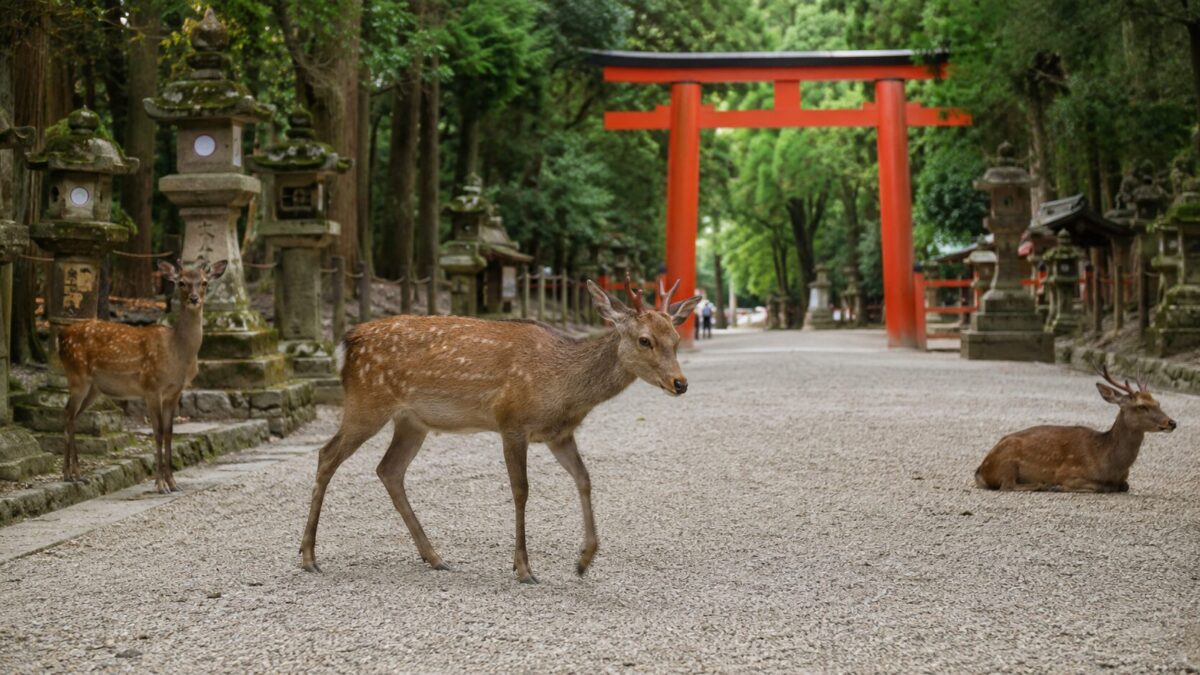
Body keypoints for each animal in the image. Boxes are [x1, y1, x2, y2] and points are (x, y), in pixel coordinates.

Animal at [58, 259, 228, 494]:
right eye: (181, 282)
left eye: (204, 282)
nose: (194, 298)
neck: (177, 353)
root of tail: (61, 336)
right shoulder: (151, 387)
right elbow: (157, 432)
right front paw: (160, 484)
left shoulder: (174, 391)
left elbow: (169, 432)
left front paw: (173, 482)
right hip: (77, 375)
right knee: (67, 413)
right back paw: (70, 474)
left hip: (94, 388)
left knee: (72, 415)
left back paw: (75, 474)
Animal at [300, 276, 701, 583]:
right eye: (644, 340)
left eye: (675, 338)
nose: (680, 383)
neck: (564, 388)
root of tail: (347, 342)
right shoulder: (512, 422)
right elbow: (521, 491)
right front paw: (523, 568)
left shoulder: (558, 434)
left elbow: (584, 479)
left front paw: (584, 560)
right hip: (366, 404)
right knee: (327, 455)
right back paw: (308, 557)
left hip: (412, 421)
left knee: (389, 469)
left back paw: (435, 556)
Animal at [974, 364, 1176, 492]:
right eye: (1141, 406)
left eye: (1158, 402)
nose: (1171, 422)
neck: (1109, 463)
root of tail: (982, 469)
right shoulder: (1069, 473)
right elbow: (1101, 487)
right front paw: (1058, 486)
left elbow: (1124, 486)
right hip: (1007, 463)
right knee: (1008, 485)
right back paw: (1045, 485)